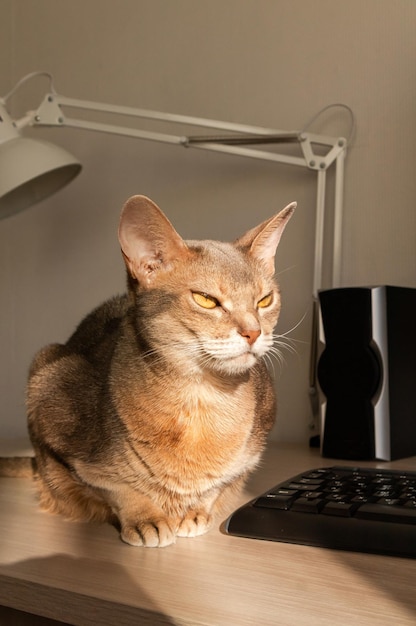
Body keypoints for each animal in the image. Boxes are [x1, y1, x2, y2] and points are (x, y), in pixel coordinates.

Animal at [3, 195, 296, 544]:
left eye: (265, 300)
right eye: (206, 300)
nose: (253, 332)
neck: (200, 399)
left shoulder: (250, 453)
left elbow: (221, 483)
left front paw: (197, 511)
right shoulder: (54, 402)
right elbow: (113, 486)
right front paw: (146, 517)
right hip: (45, 361)